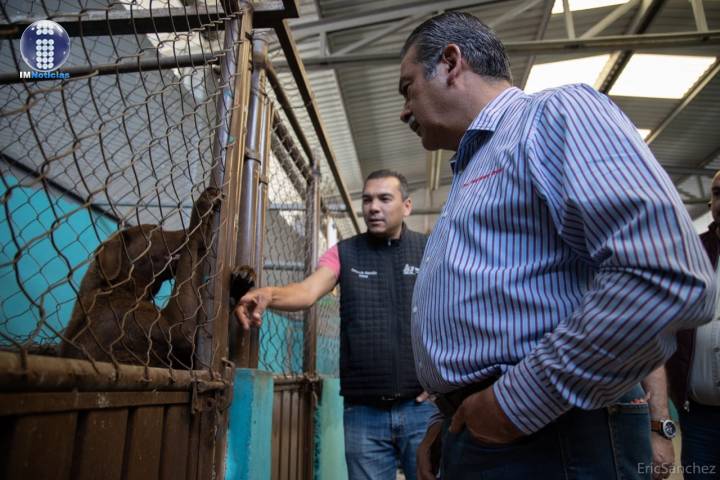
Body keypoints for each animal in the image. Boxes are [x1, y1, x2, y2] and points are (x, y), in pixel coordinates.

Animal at [59, 188, 256, 368]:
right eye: (155, 230)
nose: (184, 229)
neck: (120, 287)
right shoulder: (165, 326)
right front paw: (202, 208)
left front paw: (243, 279)